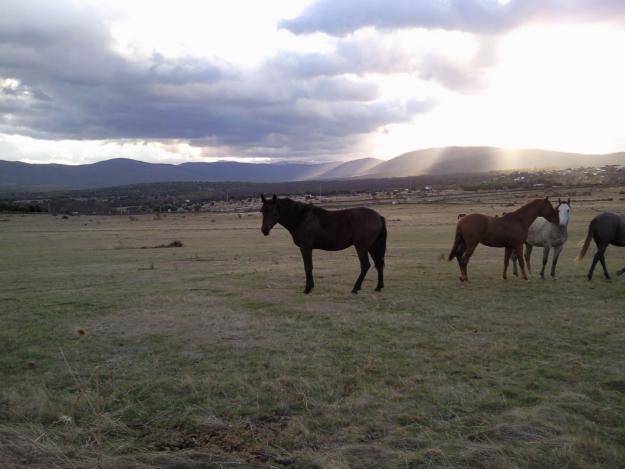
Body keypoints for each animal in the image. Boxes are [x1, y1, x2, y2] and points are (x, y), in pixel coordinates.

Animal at [258, 194, 386, 292]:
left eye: (273, 210)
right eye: (262, 211)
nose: (264, 230)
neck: (301, 217)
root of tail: (378, 216)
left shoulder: (305, 247)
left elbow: (308, 266)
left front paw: (307, 289)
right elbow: (309, 266)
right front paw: (311, 286)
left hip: (361, 247)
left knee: (365, 265)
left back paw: (355, 288)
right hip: (373, 246)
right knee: (379, 264)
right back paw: (378, 287)